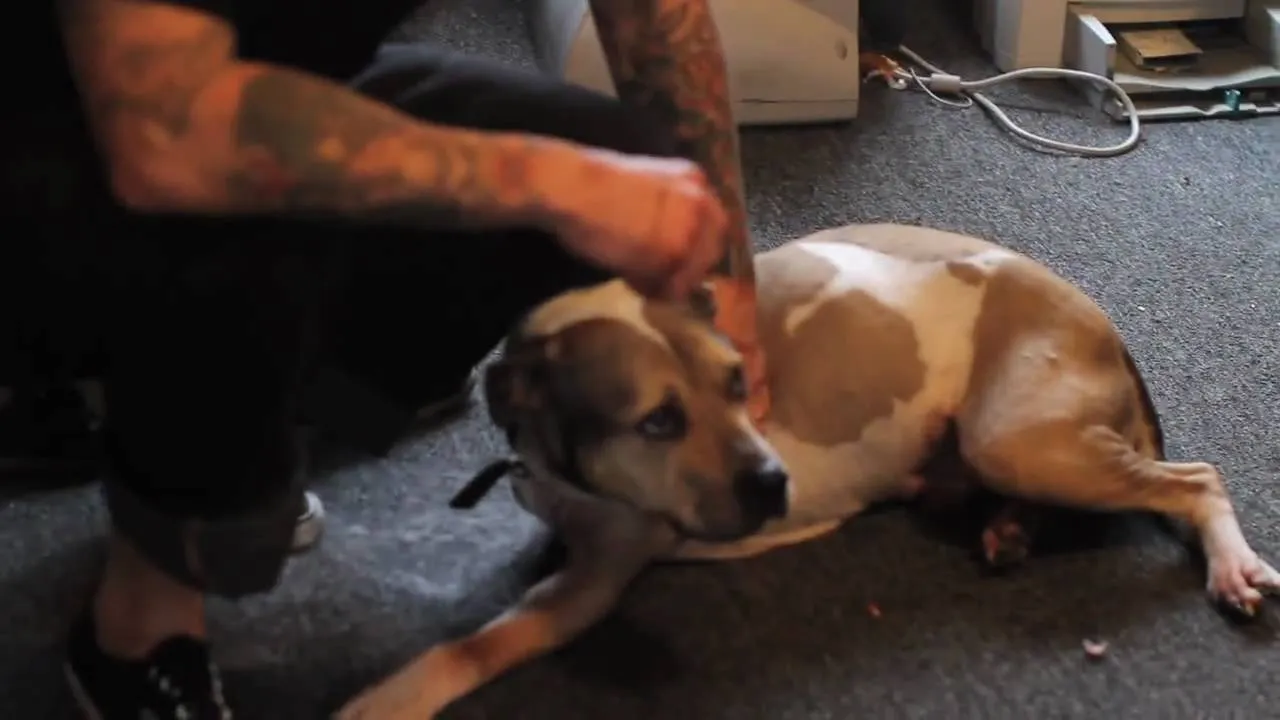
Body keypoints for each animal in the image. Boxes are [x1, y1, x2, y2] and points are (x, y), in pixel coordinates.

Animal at [335, 221, 1274, 712]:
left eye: (736, 381)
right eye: (659, 421)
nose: (773, 482)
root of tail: (1103, 324)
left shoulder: (591, 581)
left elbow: (471, 644)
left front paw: (386, 698)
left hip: (1017, 436)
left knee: (1195, 480)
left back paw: (1230, 565)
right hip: (1015, 450)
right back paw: (1010, 530)